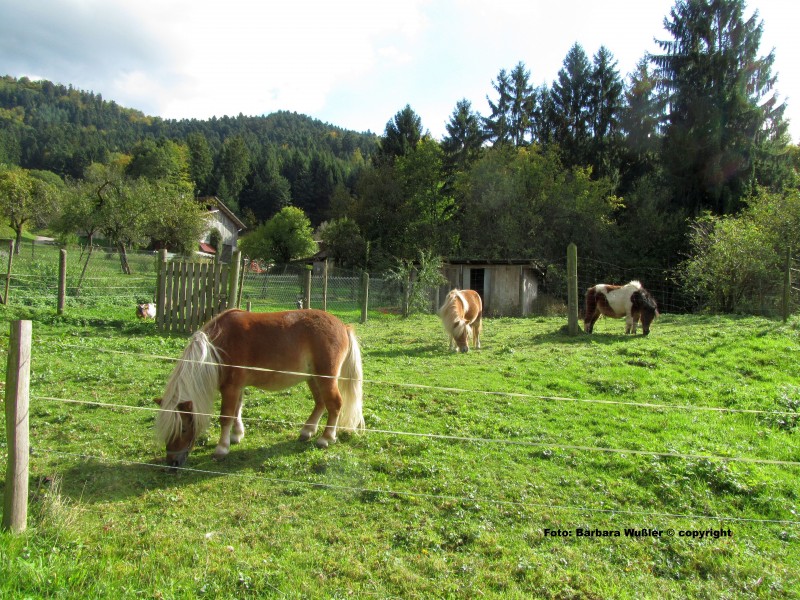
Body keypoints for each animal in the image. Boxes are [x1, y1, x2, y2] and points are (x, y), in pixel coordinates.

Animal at [154, 310, 366, 468]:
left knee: (334, 404)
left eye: (182, 428)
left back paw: (326, 438)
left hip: (325, 378)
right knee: (321, 403)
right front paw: (236, 435)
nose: (172, 462)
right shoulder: (237, 387)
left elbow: (226, 417)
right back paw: (307, 431)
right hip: (312, 378)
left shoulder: (230, 388)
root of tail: (343, 326)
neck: (215, 347)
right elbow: (237, 411)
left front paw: (222, 448)